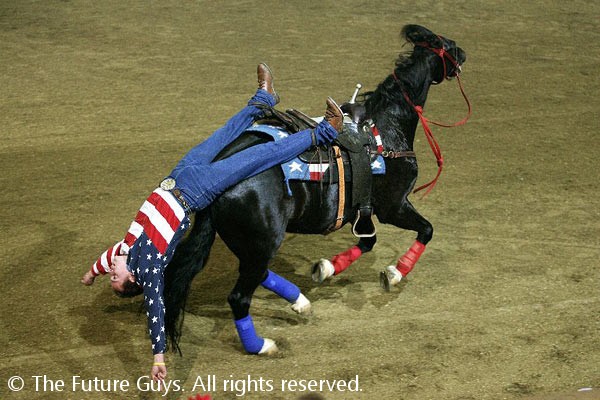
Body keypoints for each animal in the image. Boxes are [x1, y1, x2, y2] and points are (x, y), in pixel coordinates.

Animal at [163, 25, 468, 354]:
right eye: (448, 44)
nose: (463, 54)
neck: (386, 130)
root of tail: (215, 179)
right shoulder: (394, 206)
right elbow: (426, 230)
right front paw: (395, 272)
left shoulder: (363, 210)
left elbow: (368, 243)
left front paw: (327, 267)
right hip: (263, 239)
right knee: (240, 296)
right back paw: (262, 345)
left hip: (247, 241)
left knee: (258, 272)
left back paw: (300, 301)